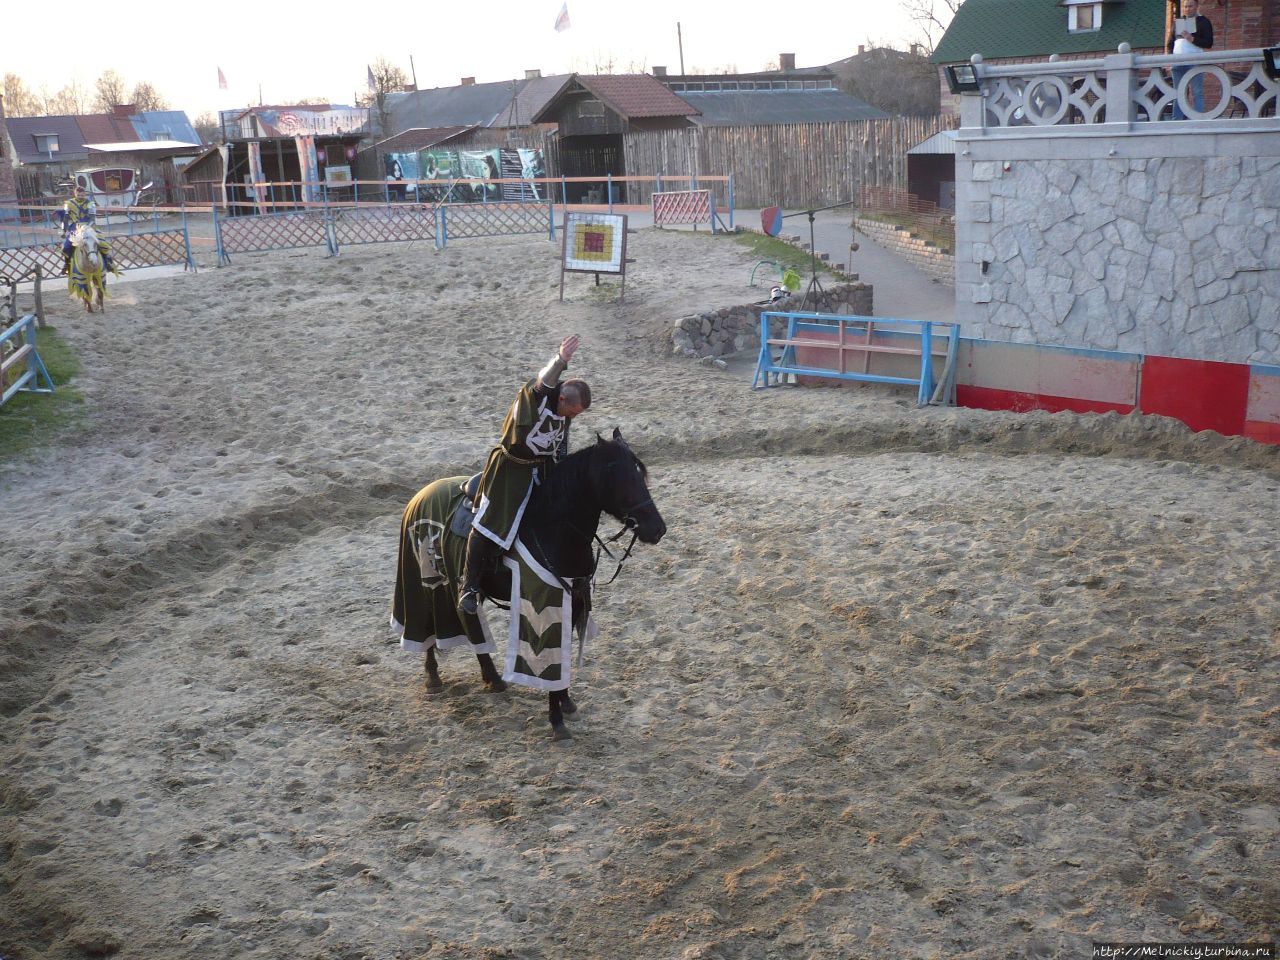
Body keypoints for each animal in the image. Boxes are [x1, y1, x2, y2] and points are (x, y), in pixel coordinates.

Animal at [394, 430, 665, 742]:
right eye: (618, 475)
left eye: (639, 473)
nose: (657, 529)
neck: (553, 529)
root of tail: (421, 494)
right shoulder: (545, 606)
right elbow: (549, 659)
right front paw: (557, 721)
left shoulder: (573, 602)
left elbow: (563, 654)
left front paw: (566, 702)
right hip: (425, 581)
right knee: (427, 623)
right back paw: (433, 677)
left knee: (467, 620)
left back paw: (493, 679)